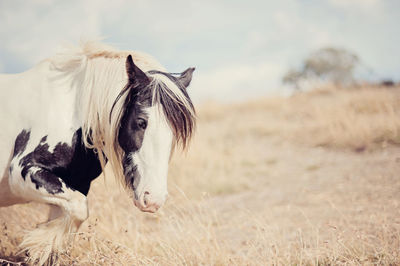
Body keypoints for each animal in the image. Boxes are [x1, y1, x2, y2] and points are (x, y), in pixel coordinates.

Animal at [0, 41, 195, 264]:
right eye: (141, 122)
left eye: (175, 132)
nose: (153, 199)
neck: (70, 109)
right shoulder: (22, 172)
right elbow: (79, 209)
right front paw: (36, 243)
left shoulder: (74, 188)